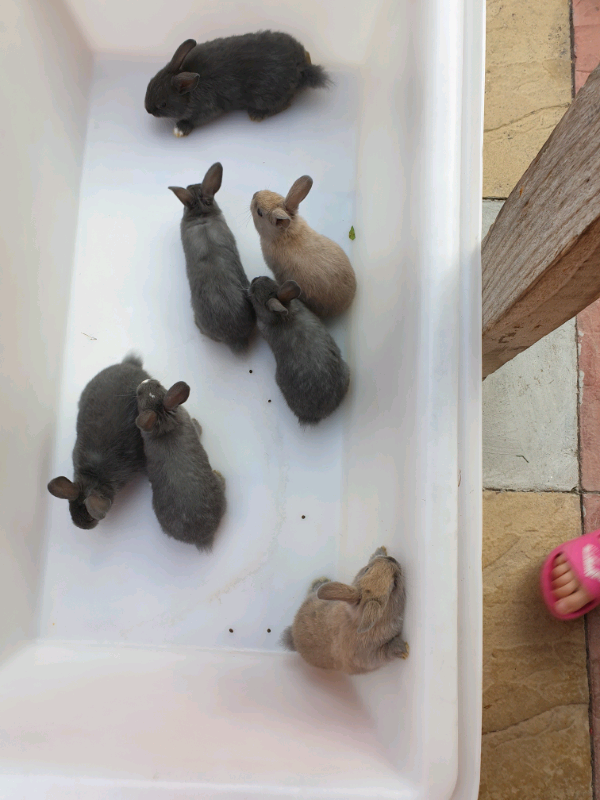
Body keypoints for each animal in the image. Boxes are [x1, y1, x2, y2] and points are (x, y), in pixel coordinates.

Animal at [135, 378, 226, 550]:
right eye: (139, 393)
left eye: (157, 385)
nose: (145, 380)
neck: (164, 424)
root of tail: (203, 539)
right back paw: (220, 474)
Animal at [145, 32, 330, 138]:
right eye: (150, 83)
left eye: (163, 104)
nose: (148, 109)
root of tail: (302, 66)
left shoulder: (207, 108)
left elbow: (194, 120)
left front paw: (180, 129)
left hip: (264, 95)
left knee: (285, 103)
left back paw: (256, 114)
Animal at [281, 547, 409, 675]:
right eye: (394, 584)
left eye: (367, 569)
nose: (391, 559)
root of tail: (293, 637)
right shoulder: (372, 656)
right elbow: (388, 651)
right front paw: (404, 649)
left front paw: (381, 549)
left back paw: (321, 580)